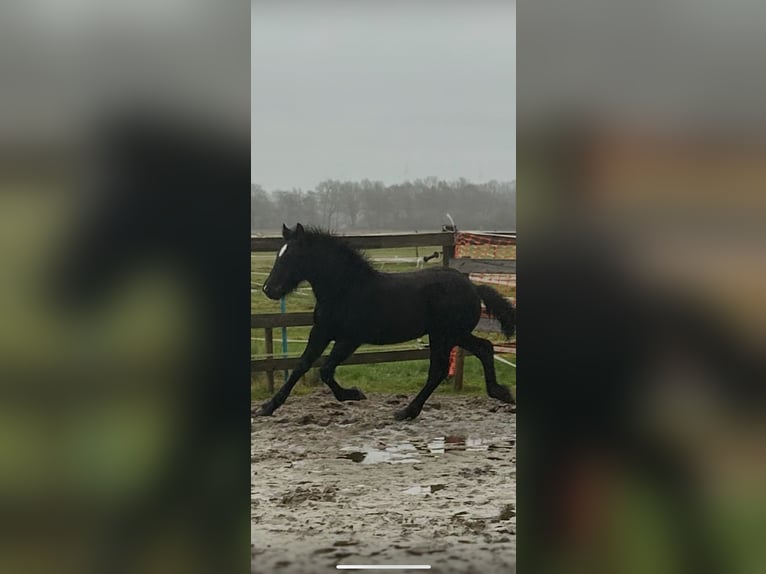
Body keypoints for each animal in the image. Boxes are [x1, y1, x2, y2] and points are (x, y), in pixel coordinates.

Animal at [256, 224, 516, 418]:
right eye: (278, 254)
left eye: (293, 256)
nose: (269, 289)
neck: (346, 290)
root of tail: (473, 287)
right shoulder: (321, 332)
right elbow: (301, 366)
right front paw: (267, 408)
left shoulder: (350, 339)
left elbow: (325, 370)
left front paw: (353, 394)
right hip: (449, 335)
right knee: (478, 351)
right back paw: (498, 393)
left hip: (447, 334)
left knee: (445, 366)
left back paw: (407, 411)